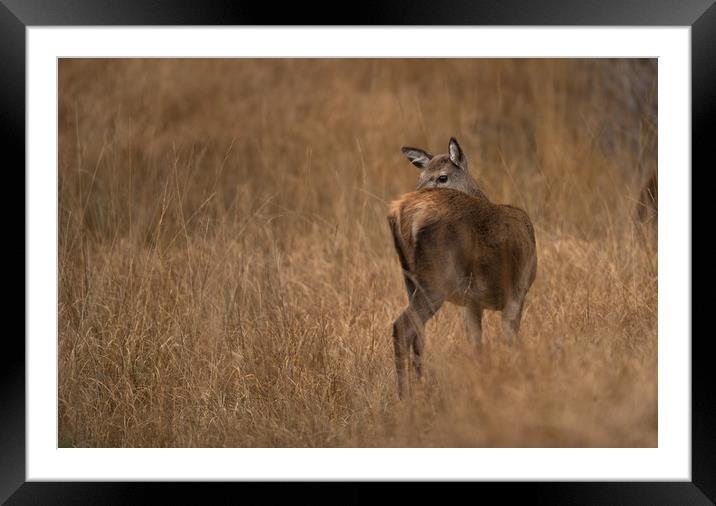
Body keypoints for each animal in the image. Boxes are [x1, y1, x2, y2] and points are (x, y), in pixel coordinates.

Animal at [386, 138, 536, 400]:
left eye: (442, 177)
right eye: (421, 176)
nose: (418, 190)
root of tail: (401, 211)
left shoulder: (472, 302)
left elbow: (476, 344)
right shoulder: (517, 290)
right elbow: (510, 341)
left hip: (410, 279)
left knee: (418, 332)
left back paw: (420, 387)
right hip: (436, 278)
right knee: (403, 327)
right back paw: (405, 396)